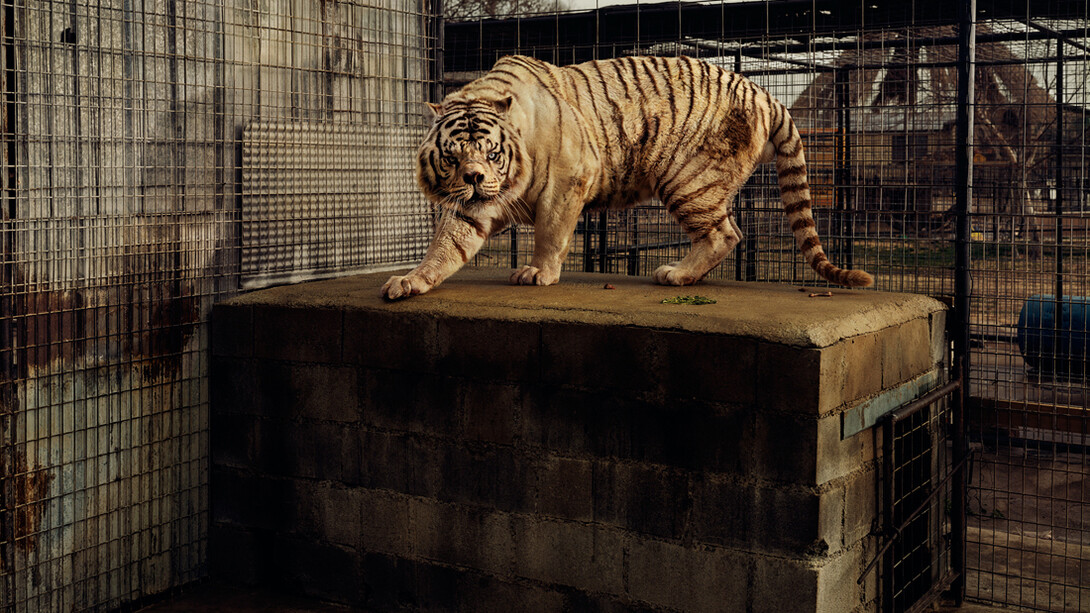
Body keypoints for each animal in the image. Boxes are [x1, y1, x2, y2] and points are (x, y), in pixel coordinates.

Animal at [381, 54, 873, 300]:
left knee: (726, 234)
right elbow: (447, 244)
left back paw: (676, 275)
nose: (475, 178)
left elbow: (550, 232)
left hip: (687, 179)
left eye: (490, 151)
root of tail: (764, 92)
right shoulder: (472, 205)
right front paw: (410, 281)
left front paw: (538, 273)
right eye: (454, 156)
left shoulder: (569, 178)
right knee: (729, 232)